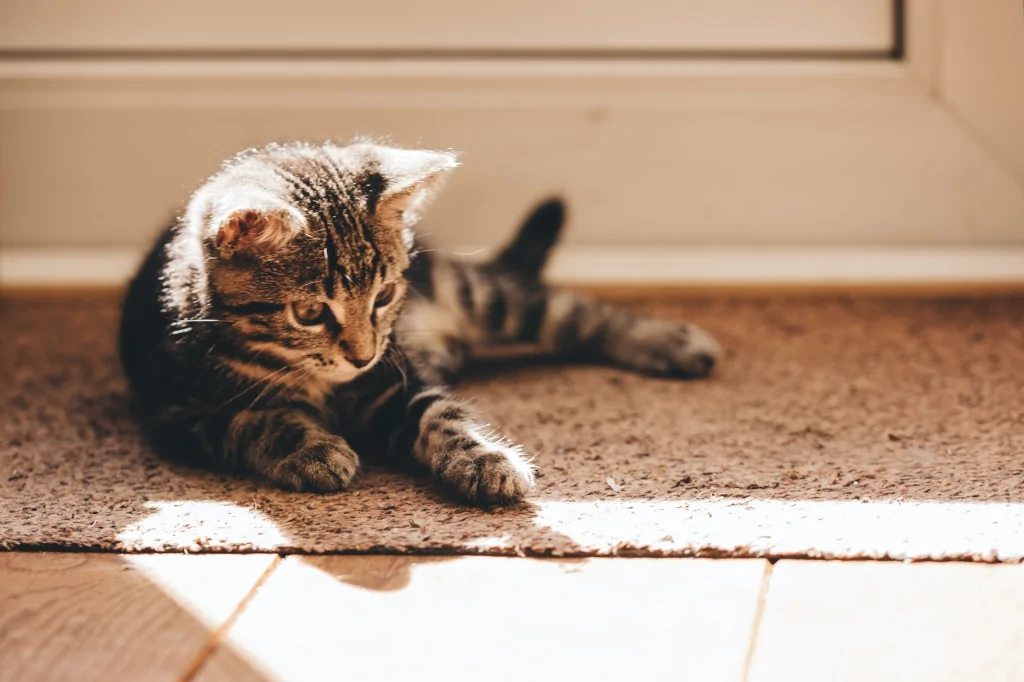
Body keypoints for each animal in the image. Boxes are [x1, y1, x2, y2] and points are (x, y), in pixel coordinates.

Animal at [121, 140, 720, 503]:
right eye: (310, 312)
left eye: (384, 295)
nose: (362, 353)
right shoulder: (179, 414)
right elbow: (256, 419)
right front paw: (311, 447)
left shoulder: (395, 379)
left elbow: (441, 413)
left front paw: (481, 457)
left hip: (476, 293)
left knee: (575, 313)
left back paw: (670, 340)